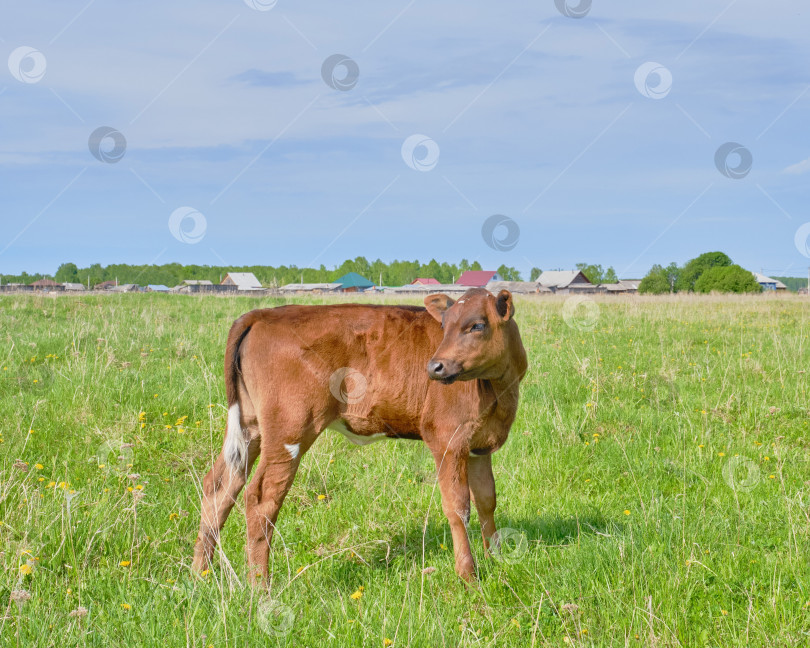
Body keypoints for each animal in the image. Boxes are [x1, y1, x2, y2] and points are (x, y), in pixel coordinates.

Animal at [193, 288, 528, 584]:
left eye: (478, 325)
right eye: (444, 326)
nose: (434, 366)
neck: (500, 390)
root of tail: (263, 313)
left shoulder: (480, 444)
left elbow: (486, 500)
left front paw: (496, 557)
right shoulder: (448, 438)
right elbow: (459, 507)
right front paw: (469, 575)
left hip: (250, 426)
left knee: (220, 485)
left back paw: (200, 575)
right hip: (289, 428)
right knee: (260, 498)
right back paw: (260, 588)